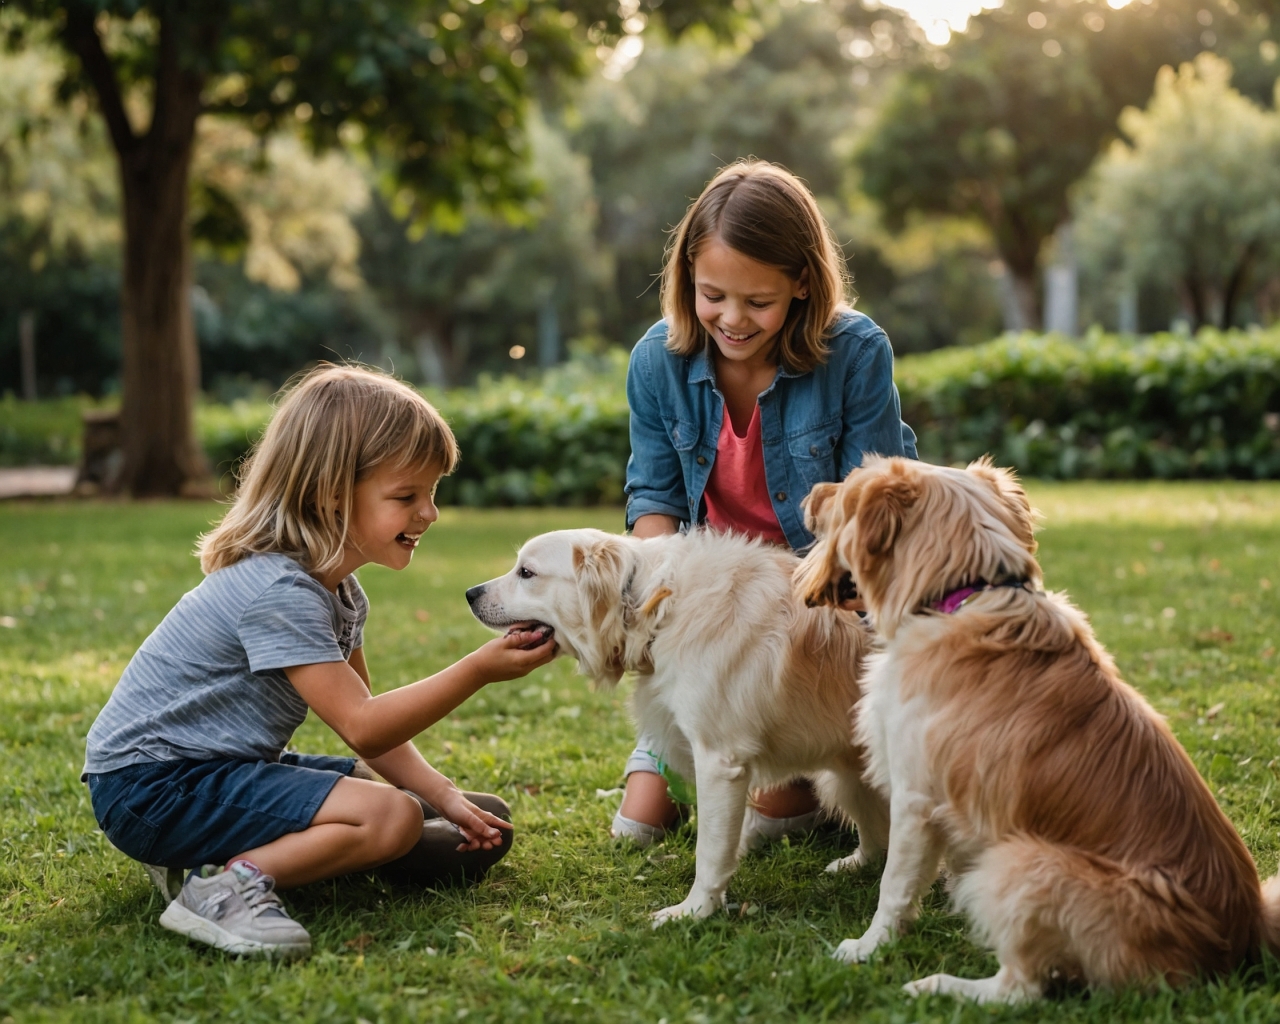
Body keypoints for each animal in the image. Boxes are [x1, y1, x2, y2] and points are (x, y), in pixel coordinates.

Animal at [468, 527, 890, 926]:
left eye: (526, 573)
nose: (470, 593)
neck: (653, 603)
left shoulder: (719, 762)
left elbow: (710, 851)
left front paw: (695, 911)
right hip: (848, 776)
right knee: (875, 832)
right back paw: (855, 865)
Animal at [793, 455, 1274, 998]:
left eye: (846, 489)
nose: (811, 491)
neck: (960, 593)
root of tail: (1243, 933)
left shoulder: (916, 797)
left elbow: (893, 886)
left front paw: (867, 948)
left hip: (1025, 863)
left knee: (1020, 989)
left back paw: (940, 985)